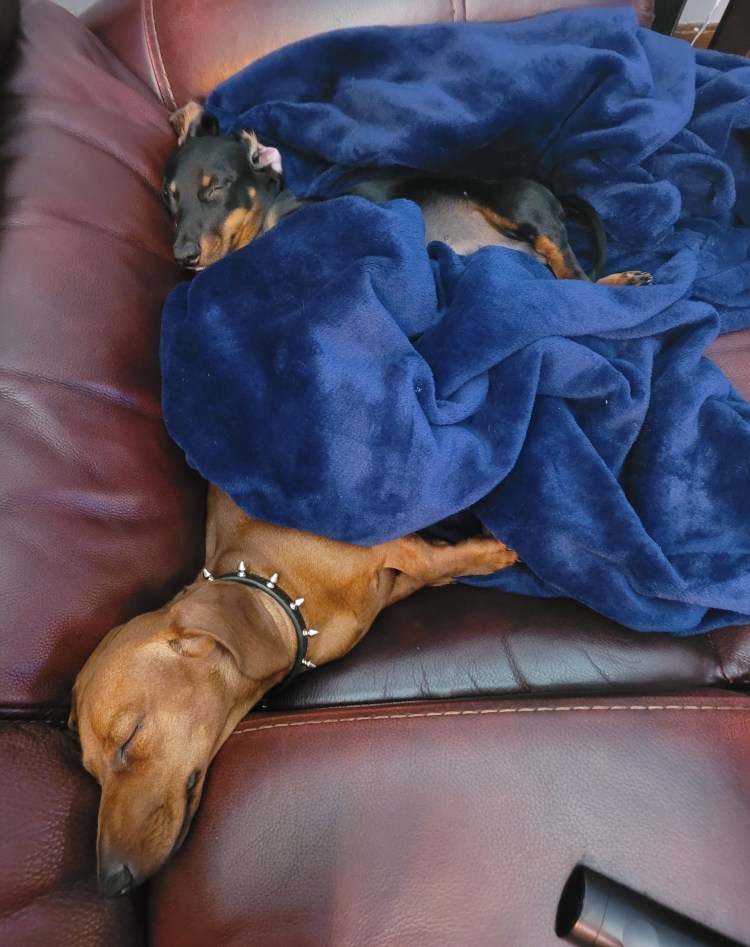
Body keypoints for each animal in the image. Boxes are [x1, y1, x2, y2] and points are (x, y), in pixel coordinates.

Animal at [69, 485, 518, 897]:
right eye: (92, 774)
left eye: (130, 737)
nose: (109, 882)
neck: (283, 587)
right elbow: (424, 569)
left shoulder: (378, 542)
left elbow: (422, 559)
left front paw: (490, 553)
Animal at [162, 100, 652, 286]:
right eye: (170, 198)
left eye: (215, 187)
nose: (183, 256)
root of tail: (551, 193)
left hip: (518, 207)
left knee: (578, 279)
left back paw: (623, 281)